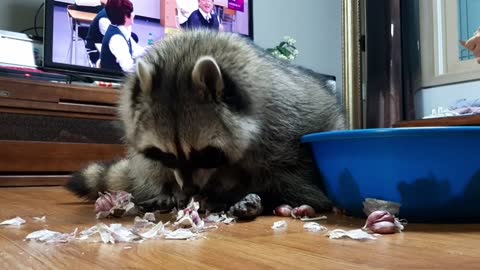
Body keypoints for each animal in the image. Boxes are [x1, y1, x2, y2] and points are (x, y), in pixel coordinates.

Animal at [66, 29, 344, 219]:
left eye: (205, 154)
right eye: (166, 155)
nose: (189, 189)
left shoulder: (284, 128)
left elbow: (294, 177)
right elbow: (154, 163)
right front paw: (173, 190)